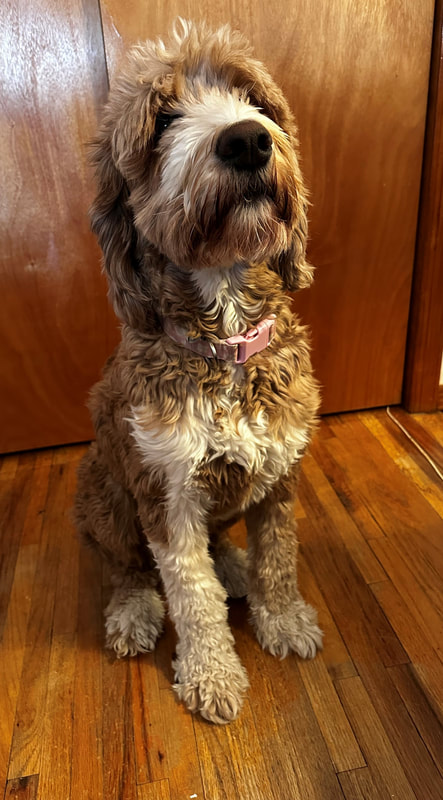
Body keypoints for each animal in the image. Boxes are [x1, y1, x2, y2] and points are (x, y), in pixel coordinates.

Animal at [75, 18, 323, 724]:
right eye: (163, 120)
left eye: (255, 101)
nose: (247, 140)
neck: (227, 345)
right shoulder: (167, 492)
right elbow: (190, 590)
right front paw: (212, 675)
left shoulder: (282, 470)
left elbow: (279, 556)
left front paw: (282, 619)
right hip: (103, 492)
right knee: (127, 567)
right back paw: (133, 610)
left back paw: (233, 565)